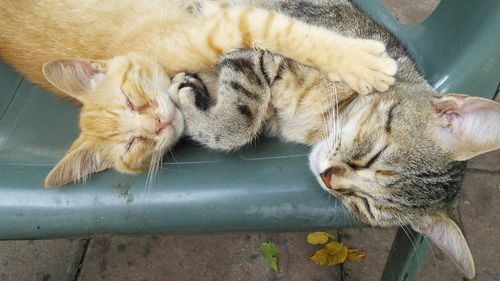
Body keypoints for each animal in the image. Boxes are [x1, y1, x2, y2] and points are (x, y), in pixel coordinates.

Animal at [0, 0, 398, 186]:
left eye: (131, 99)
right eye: (133, 145)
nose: (159, 124)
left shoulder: (226, 24)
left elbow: (289, 34)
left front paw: (359, 62)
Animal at [167, 0, 500, 278]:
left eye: (368, 206)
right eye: (375, 154)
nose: (329, 177)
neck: (317, 120)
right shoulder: (257, 37)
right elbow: (240, 119)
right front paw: (189, 101)